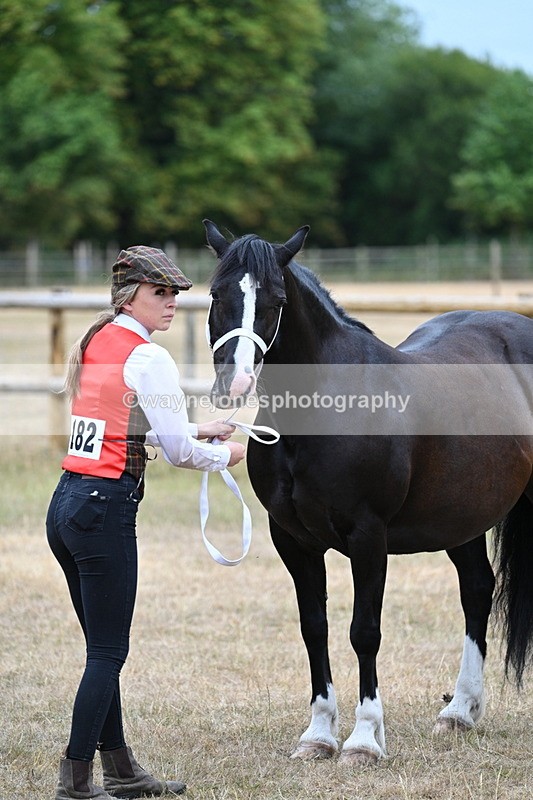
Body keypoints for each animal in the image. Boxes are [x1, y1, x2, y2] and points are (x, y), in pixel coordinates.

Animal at [203, 219, 533, 764]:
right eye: (216, 293)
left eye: (276, 298)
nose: (235, 381)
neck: (322, 409)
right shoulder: (292, 540)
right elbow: (314, 627)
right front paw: (318, 735)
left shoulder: (368, 537)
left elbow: (365, 632)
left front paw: (363, 739)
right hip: (460, 516)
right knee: (477, 589)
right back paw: (459, 711)